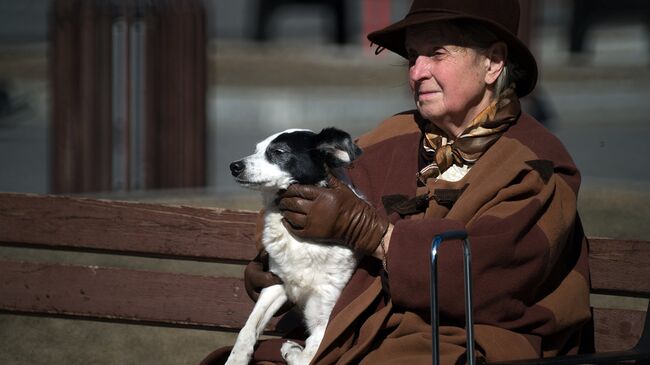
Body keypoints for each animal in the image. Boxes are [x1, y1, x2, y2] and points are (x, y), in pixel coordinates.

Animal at [227, 127, 360, 364]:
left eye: (279, 151)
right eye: (256, 149)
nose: (234, 166)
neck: (303, 242)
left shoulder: (325, 318)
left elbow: (310, 355)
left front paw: (292, 350)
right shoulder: (276, 283)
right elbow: (248, 327)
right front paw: (237, 358)